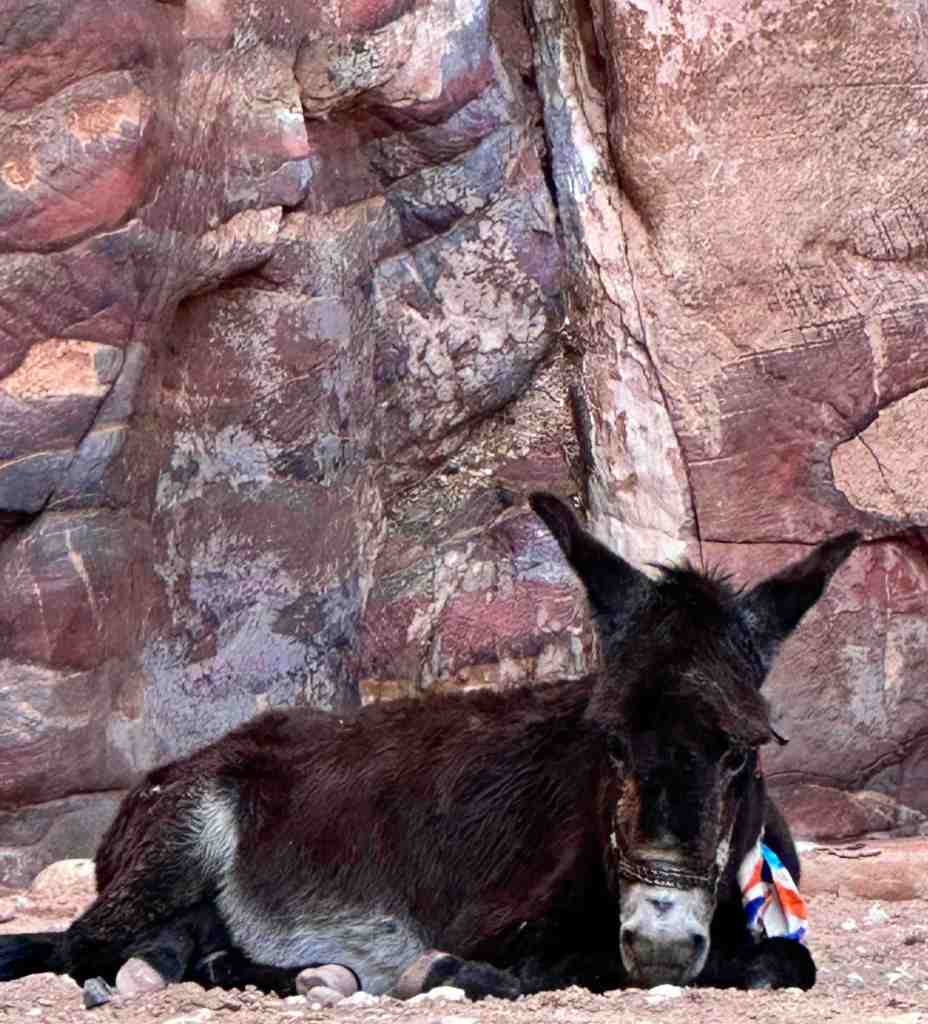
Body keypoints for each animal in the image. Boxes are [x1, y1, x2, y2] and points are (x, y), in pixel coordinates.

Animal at [0, 493, 858, 1003]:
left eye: (740, 754)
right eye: (611, 742)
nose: (661, 942)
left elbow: (792, 962)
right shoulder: (505, 924)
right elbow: (544, 968)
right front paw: (441, 970)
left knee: (183, 943)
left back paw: (298, 973)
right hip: (180, 841)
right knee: (83, 943)